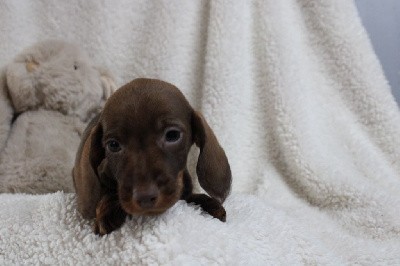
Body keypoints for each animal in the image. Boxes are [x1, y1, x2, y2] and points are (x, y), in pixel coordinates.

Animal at [72, 77, 231, 235]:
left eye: (172, 135)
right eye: (113, 145)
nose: (145, 198)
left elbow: (189, 196)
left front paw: (208, 202)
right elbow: (106, 191)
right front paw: (107, 210)